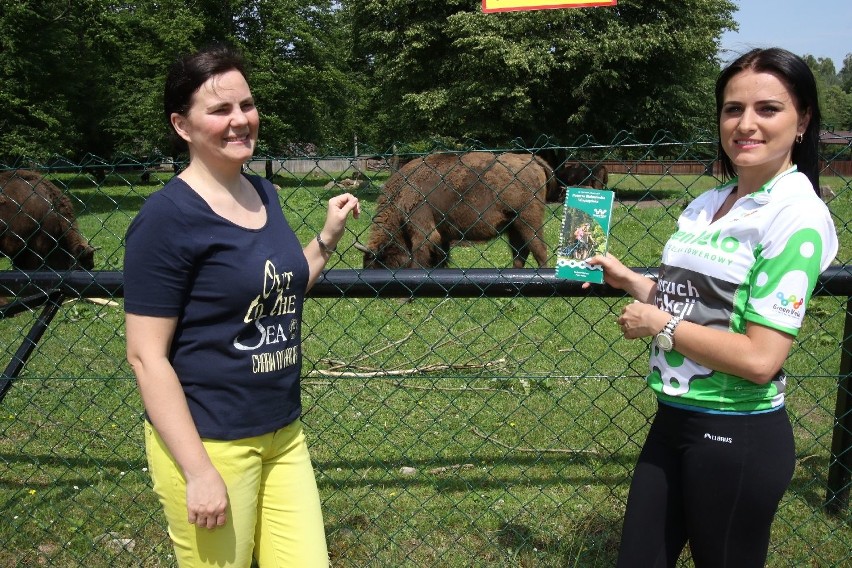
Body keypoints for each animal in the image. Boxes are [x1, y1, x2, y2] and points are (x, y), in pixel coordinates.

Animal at [358, 152, 552, 270]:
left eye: (378, 261)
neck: (402, 191)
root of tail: (531, 159)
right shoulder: (441, 235)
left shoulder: (422, 227)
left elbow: (421, 251)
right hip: (514, 226)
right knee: (520, 252)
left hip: (528, 221)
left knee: (539, 249)